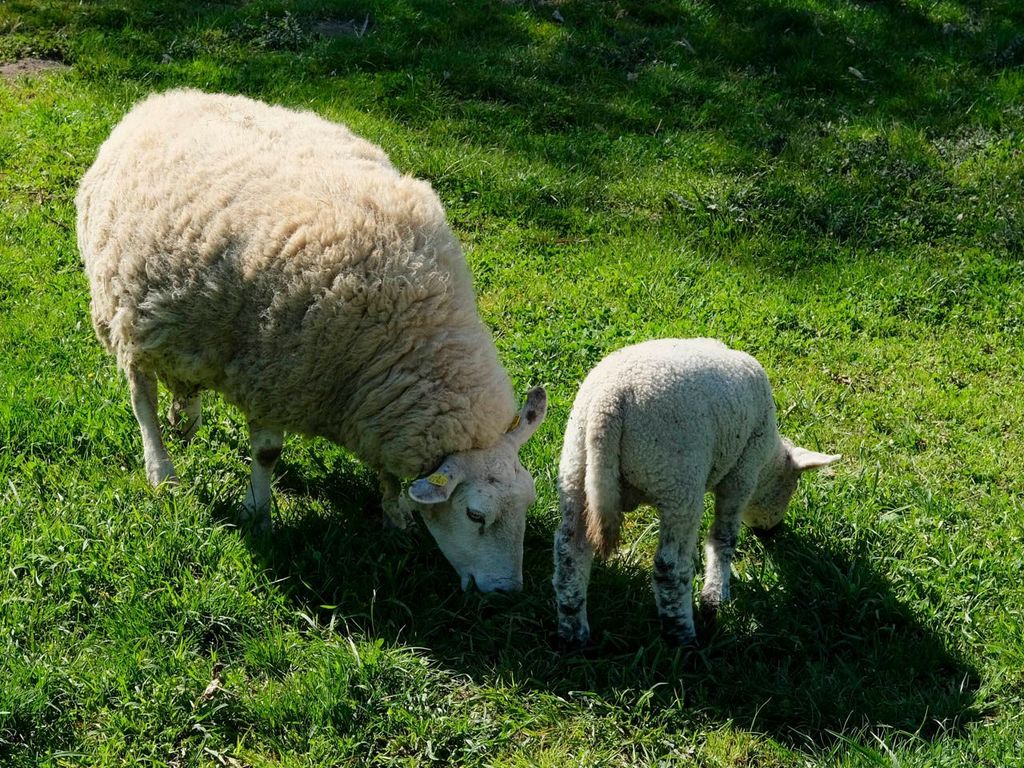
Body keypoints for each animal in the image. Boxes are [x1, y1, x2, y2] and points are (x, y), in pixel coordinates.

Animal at [76, 89, 547, 593]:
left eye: (528, 503)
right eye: (476, 515)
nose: (507, 593)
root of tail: (159, 99)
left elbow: (387, 473)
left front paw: (395, 514)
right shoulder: (274, 373)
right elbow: (267, 453)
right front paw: (257, 513)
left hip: (184, 322)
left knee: (182, 380)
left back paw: (186, 418)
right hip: (122, 312)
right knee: (141, 396)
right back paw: (161, 470)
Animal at [552, 338, 839, 646]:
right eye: (790, 488)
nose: (772, 533)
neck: (767, 461)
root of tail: (608, 405)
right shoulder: (742, 472)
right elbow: (724, 538)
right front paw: (715, 596)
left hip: (576, 469)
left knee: (570, 551)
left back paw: (573, 631)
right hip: (677, 480)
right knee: (669, 566)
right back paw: (683, 636)